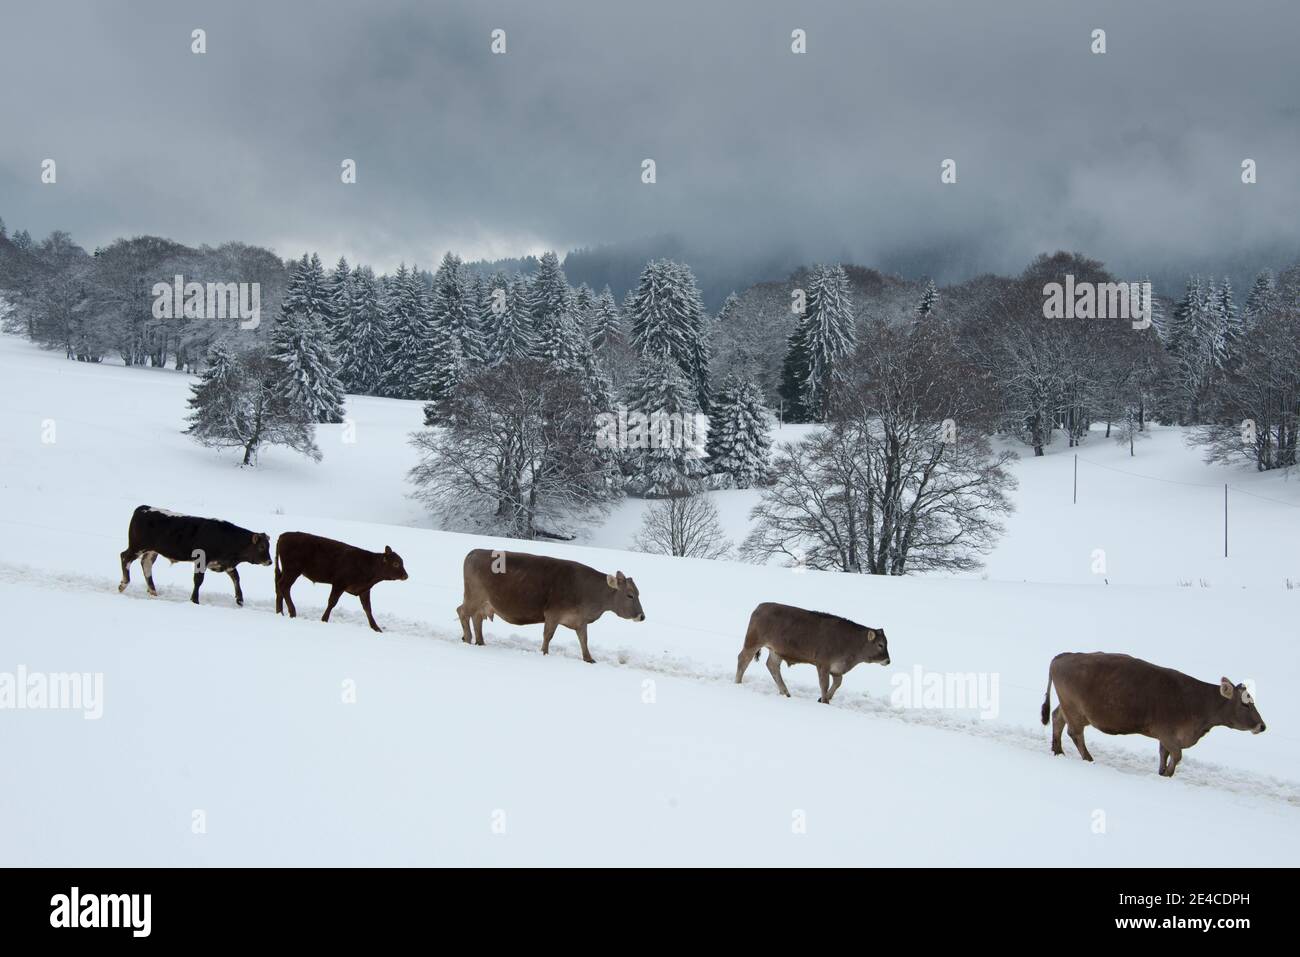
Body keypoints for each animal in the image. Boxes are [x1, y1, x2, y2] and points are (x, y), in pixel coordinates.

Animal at [276, 530, 408, 634]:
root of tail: (284, 535)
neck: (368, 566)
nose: (406, 575)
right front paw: (324, 619)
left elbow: (368, 609)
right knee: (283, 586)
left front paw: (376, 628)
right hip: (292, 570)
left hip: (287, 571)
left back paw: (280, 612)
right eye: (396, 563)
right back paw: (292, 612)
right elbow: (332, 602)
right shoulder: (339, 583)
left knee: (279, 586)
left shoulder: (364, 590)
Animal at [457, 548, 644, 660]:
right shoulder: (553, 614)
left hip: (483, 604)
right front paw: (544, 653)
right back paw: (468, 638)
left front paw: (589, 659)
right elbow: (548, 635)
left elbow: (584, 640)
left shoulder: (580, 621)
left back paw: (480, 642)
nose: (642, 616)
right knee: (462, 612)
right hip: (474, 597)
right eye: (630, 595)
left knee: (477, 619)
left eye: (638, 593)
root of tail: (475, 551)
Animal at [738, 605, 889, 702]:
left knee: (772, 666)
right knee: (743, 659)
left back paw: (786, 692)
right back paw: (738, 683)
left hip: (776, 651)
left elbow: (838, 682)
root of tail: (759, 607)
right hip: (753, 643)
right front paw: (824, 700)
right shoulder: (823, 664)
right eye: (880, 644)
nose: (888, 660)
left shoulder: (836, 668)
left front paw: (824, 698)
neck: (851, 642)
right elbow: (824, 684)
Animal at [1040, 650, 1263, 780]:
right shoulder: (1167, 733)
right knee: (1075, 733)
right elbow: (1176, 755)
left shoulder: (1167, 736)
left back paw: (1058, 751)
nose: (1263, 725)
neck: (1197, 703)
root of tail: (1063, 656)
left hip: (1070, 708)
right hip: (1075, 710)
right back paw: (1088, 759)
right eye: (1246, 703)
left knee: (1057, 717)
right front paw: (1167, 775)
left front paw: (1161, 772)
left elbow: (1164, 754)